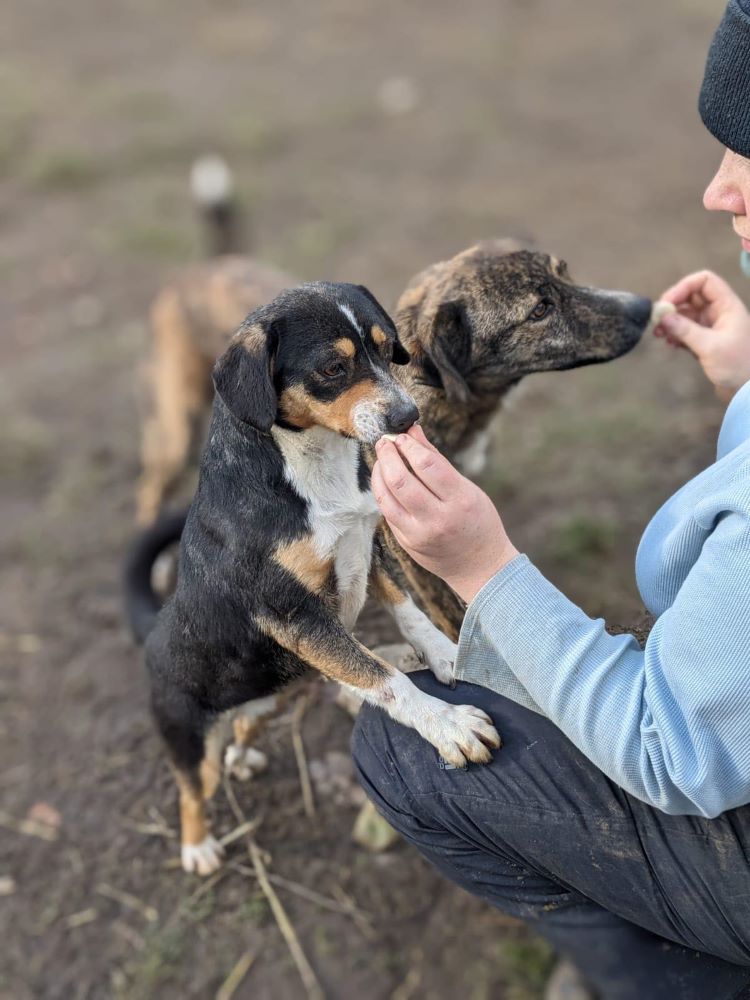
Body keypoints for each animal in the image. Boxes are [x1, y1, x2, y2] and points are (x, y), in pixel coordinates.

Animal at [143, 284, 502, 876]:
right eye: (333, 367)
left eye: (386, 348)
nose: (408, 417)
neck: (313, 469)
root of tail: (150, 635)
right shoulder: (295, 613)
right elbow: (384, 679)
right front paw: (447, 724)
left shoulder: (371, 548)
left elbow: (410, 615)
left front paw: (447, 656)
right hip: (190, 738)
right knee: (193, 791)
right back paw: (198, 848)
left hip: (271, 700)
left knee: (244, 730)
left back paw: (245, 755)